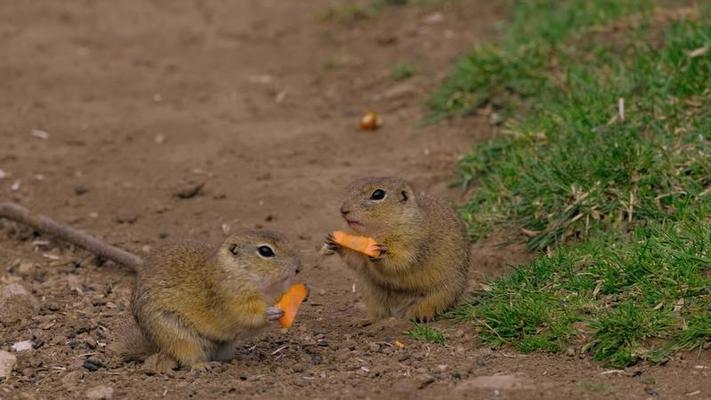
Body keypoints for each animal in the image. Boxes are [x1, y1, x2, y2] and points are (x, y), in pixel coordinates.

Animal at [0, 202, 300, 370]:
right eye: (265, 251)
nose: (299, 268)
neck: (238, 271)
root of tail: (155, 345)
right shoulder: (231, 298)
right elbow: (248, 318)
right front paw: (273, 313)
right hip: (178, 335)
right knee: (187, 357)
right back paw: (201, 368)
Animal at [326, 177, 472, 320]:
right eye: (350, 188)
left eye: (377, 195)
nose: (343, 210)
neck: (374, 233)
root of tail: (398, 310)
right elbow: (357, 262)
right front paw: (334, 243)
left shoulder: (410, 240)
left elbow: (401, 261)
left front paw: (381, 254)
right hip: (371, 293)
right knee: (379, 314)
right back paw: (365, 321)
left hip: (444, 291)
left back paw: (421, 315)